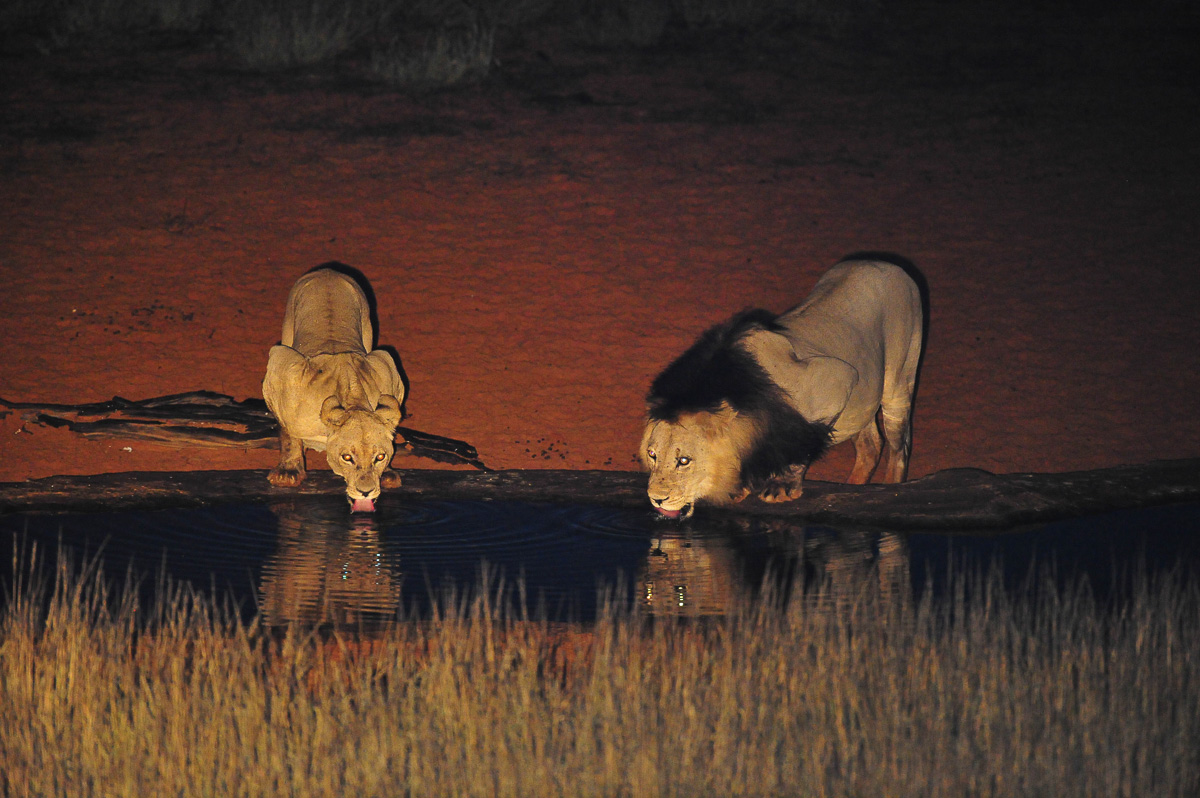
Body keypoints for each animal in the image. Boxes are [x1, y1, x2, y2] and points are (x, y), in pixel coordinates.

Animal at [262, 265, 406, 513]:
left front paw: (388, 473)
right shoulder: (282, 368)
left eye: (379, 457)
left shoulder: (385, 366)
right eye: (347, 457)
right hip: (288, 328)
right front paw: (288, 472)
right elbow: (288, 430)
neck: (353, 397)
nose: (366, 491)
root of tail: (327, 270)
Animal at [640, 259, 924, 519]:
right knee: (870, 445)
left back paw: (891, 488)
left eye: (684, 461)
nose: (656, 499)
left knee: (898, 445)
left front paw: (782, 486)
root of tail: (881, 262)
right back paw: (853, 488)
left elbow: (802, 445)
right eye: (652, 454)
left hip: (899, 376)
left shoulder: (837, 379)